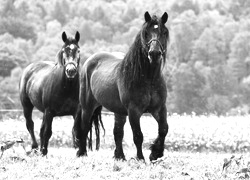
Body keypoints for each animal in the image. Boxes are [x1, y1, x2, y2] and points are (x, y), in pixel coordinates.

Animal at [74, 11, 168, 161]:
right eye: (146, 33)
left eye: (164, 32)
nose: (154, 54)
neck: (149, 79)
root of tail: (88, 62)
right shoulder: (134, 111)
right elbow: (138, 136)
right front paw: (140, 158)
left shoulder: (159, 108)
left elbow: (164, 129)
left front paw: (155, 153)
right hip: (87, 107)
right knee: (84, 127)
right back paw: (82, 153)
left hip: (118, 111)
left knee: (118, 132)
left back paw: (120, 156)